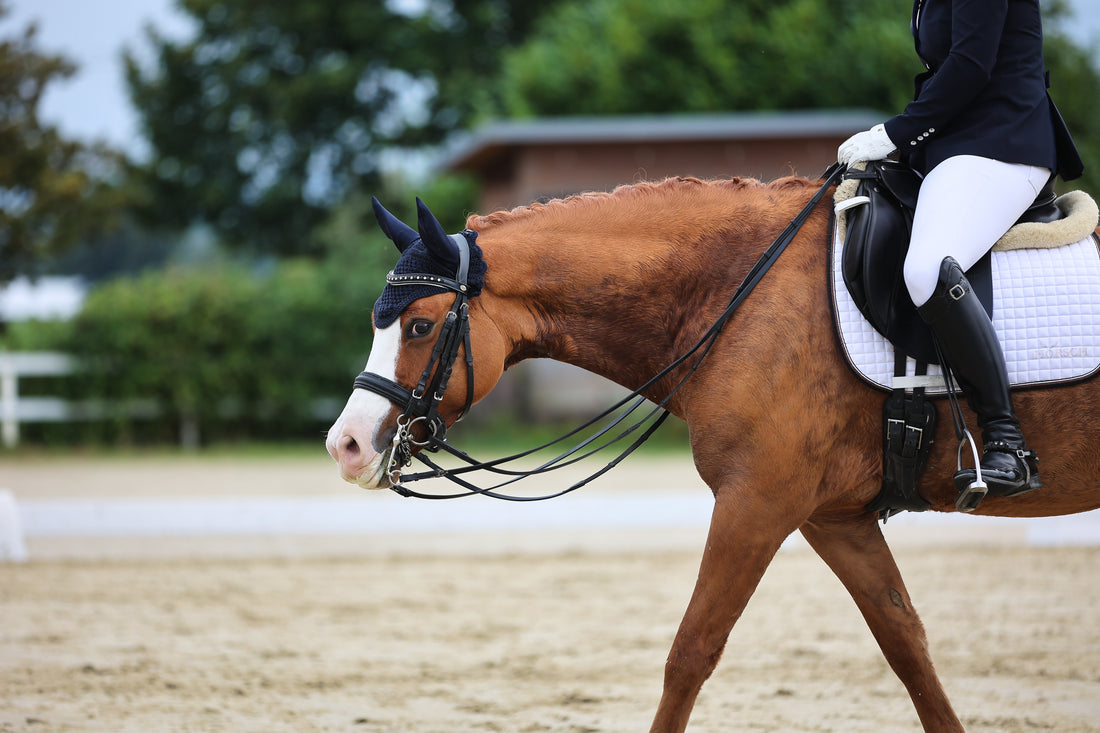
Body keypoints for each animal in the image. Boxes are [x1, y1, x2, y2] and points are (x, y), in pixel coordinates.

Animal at [325, 172, 1100, 732]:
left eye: (421, 325)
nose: (346, 445)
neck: (735, 290)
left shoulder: (756, 502)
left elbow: (690, 650)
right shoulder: (832, 517)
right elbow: (907, 645)